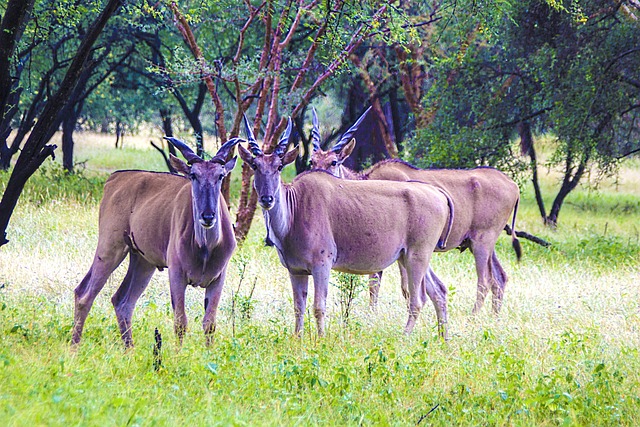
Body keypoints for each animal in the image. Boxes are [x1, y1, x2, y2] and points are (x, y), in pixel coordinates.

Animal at [72, 137, 242, 348]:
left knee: (122, 301)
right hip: (110, 247)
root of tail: (113, 179)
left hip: (143, 261)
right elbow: (180, 322)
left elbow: (209, 323)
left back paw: (129, 350)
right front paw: (179, 355)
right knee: (84, 294)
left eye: (220, 176)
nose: (208, 216)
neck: (205, 248)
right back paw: (74, 347)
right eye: (193, 175)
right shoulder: (176, 274)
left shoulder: (218, 277)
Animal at [238, 117, 452, 338]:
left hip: (416, 256)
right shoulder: (296, 271)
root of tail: (438, 193)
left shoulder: (322, 264)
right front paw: (297, 338)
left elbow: (318, 306)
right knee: (439, 291)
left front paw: (321, 339)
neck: (295, 209)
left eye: (279, 166)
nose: (266, 199)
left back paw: (404, 337)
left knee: (417, 300)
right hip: (411, 256)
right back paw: (443, 338)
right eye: (254, 165)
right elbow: (298, 307)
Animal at [310, 107, 520, 314]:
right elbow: (376, 284)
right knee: (500, 278)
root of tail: (513, 185)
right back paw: (494, 317)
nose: (317, 177)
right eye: (312, 161)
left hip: (482, 242)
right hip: (482, 243)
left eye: (333, 162)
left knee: (484, 280)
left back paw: (473, 317)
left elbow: (401, 287)